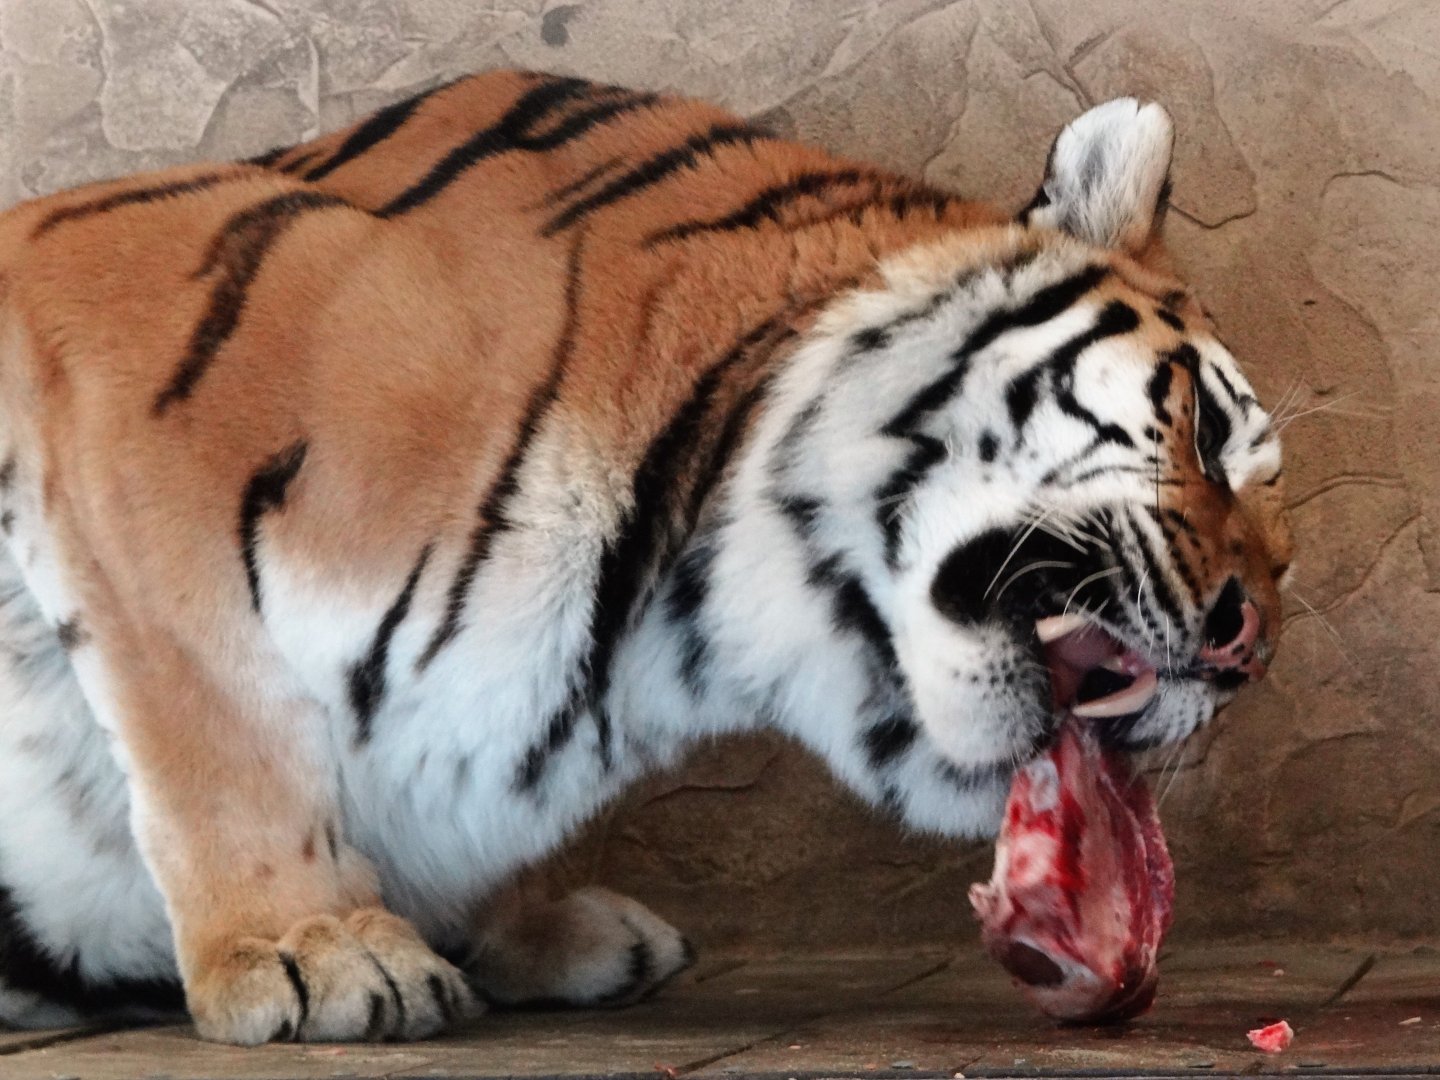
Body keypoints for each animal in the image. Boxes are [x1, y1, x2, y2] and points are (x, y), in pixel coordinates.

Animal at [0, 70, 1291, 1044]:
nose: (1249, 648)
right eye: (1207, 436)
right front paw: (309, 949)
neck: (661, 633)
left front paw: (543, 931)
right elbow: (223, 728)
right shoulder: (107, 351)